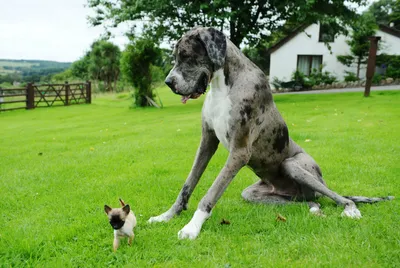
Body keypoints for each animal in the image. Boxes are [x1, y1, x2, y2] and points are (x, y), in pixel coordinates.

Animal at [148, 27, 394, 240]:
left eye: (187, 56)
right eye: (176, 57)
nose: (168, 82)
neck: (223, 86)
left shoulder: (239, 152)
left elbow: (212, 191)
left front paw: (192, 227)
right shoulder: (206, 143)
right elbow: (188, 184)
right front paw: (167, 216)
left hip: (293, 165)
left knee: (335, 196)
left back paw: (350, 209)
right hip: (253, 194)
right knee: (310, 202)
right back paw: (314, 209)